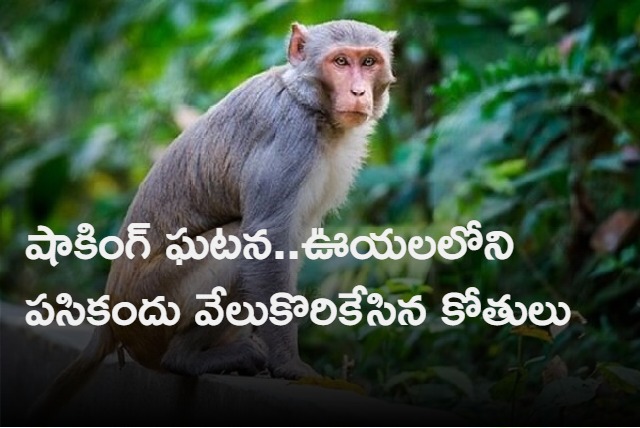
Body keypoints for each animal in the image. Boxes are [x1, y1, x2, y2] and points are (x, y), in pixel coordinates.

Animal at [30, 19, 396, 421]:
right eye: (341, 62)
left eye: (369, 62)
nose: (358, 91)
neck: (310, 104)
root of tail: (111, 317)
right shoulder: (291, 140)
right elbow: (267, 239)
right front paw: (293, 367)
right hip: (154, 304)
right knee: (236, 243)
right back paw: (188, 358)